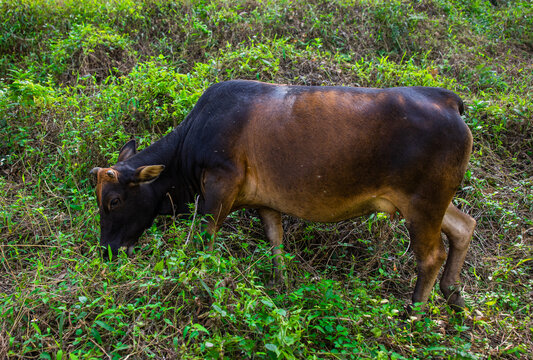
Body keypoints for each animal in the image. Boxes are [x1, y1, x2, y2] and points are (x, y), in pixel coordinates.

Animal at [90, 80, 474, 310]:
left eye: (114, 201)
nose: (107, 250)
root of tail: (446, 99)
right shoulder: (265, 203)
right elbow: (276, 243)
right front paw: (279, 286)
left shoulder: (219, 187)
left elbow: (205, 240)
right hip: (434, 203)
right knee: (464, 227)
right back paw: (453, 295)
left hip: (422, 204)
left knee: (431, 256)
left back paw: (415, 313)